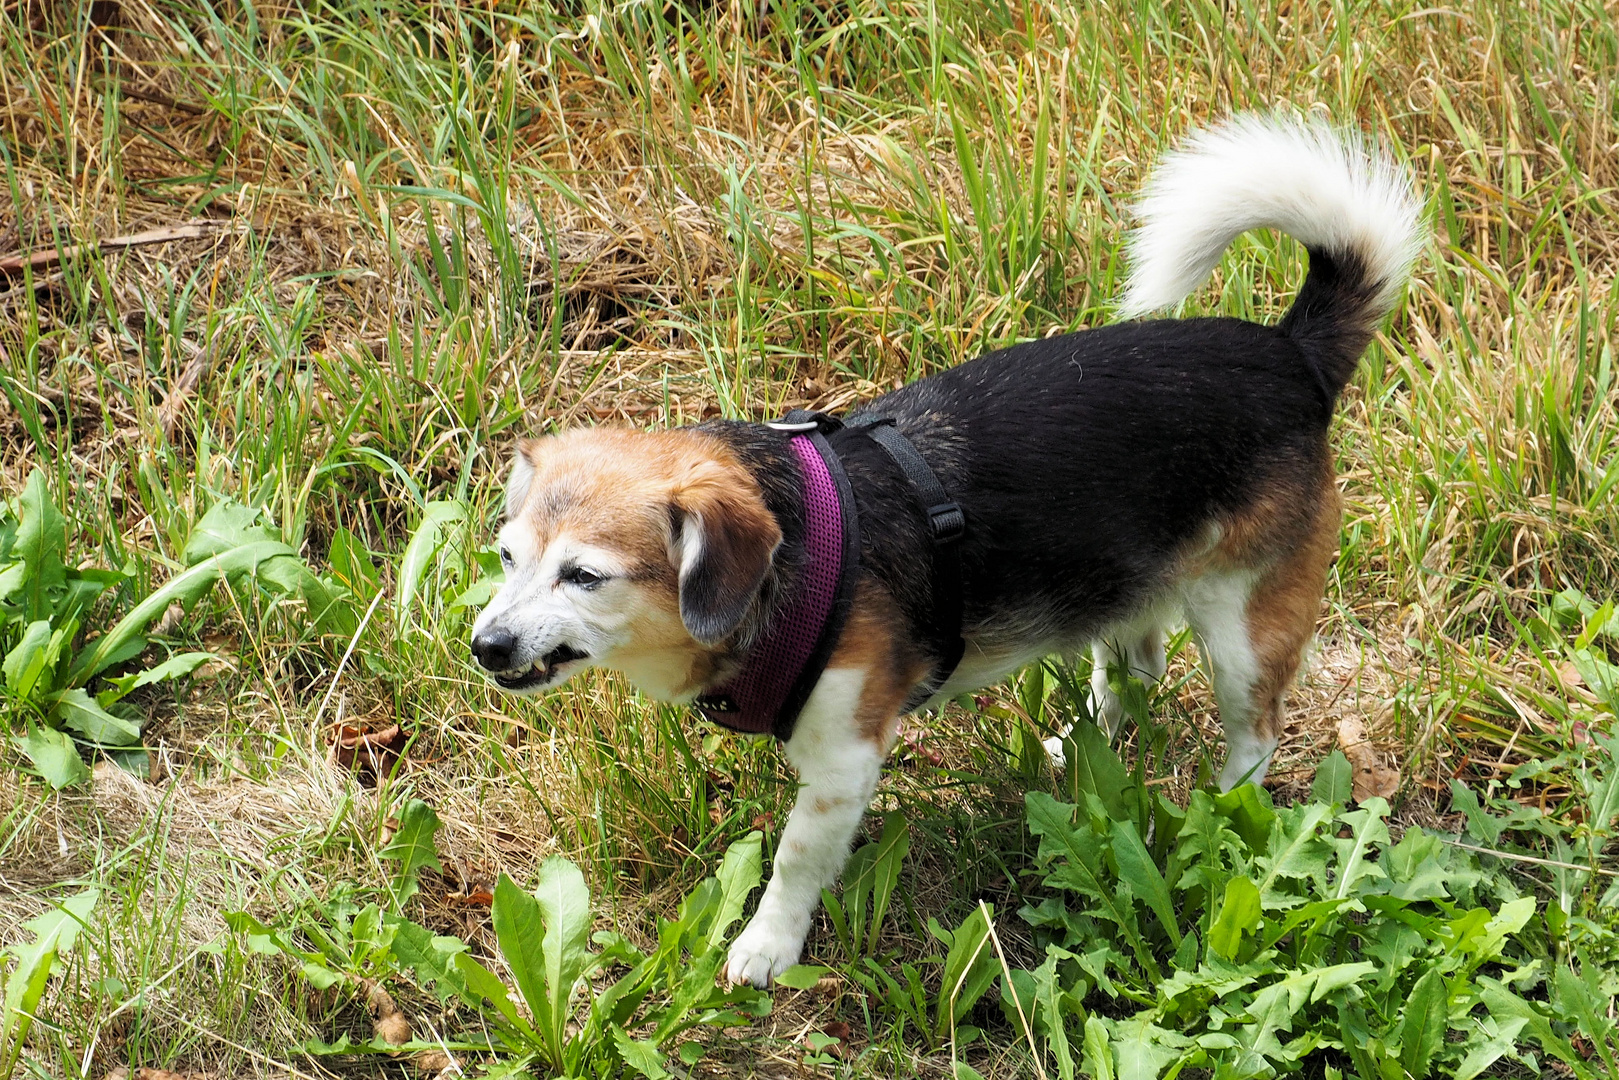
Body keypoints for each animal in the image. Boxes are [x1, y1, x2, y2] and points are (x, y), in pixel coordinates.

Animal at [469, 114, 1418, 984]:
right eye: (508, 558)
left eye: (585, 576)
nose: (486, 646)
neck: (790, 562)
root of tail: (1288, 352)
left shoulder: (845, 757)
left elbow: (795, 861)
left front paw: (766, 946)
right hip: (1121, 581)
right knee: (1135, 671)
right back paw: (1079, 749)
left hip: (1243, 622)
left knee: (1254, 730)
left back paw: (1222, 811)